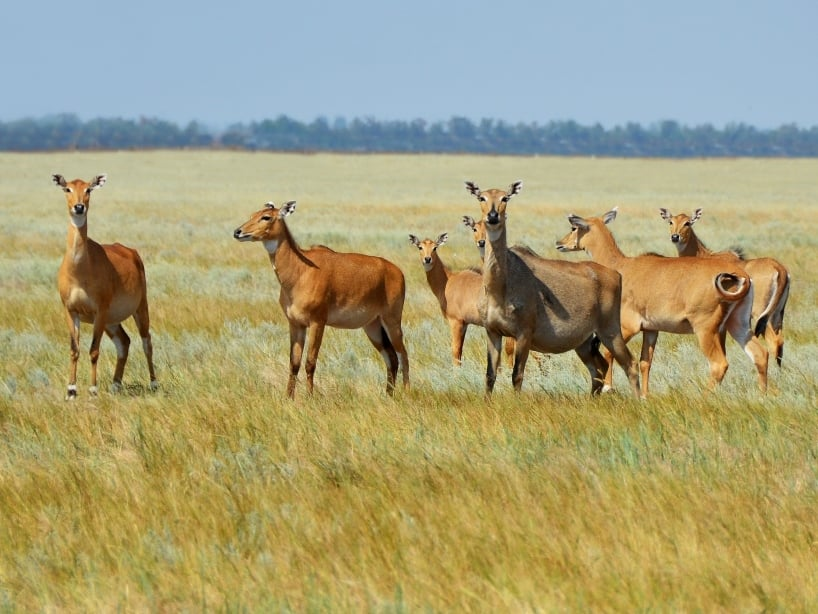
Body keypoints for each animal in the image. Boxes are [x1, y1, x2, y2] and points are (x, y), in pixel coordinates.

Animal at [54, 176, 158, 402]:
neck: (80, 270)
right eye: (68, 188)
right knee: (124, 342)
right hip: (112, 321)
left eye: (88, 189)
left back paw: (154, 384)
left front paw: (93, 391)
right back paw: (115, 385)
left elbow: (94, 350)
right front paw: (71, 391)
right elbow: (74, 349)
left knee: (146, 341)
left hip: (139, 309)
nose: (79, 207)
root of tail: (132, 252)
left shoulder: (99, 311)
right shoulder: (70, 310)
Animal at [233, 202, 408, 400]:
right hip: (373, 326)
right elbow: (294, 363)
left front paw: (310, 397)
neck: (300, 271)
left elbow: (310, 362)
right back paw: (388, 395)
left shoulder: (318, 322)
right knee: (391, 358)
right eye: (253, 214)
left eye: (266, 217)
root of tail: (397, 271)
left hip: (392, 321)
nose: (238, 232)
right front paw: (289, 397)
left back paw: (407, 392)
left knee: (403, 355)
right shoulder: (296, 324)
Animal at [462, 179, 640, 400]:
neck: (499, 285)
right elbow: (490, 375)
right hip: (584, 342)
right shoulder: (493, 332)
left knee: (630, 364)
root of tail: (615, 274)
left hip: (610, 331)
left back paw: (640, 401)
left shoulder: (524, 334)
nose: (493, 216)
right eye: (481, 197)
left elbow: (517, 375)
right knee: (598, 367)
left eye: (505, 197)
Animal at [552, 209, 768, 398]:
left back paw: (704, 398)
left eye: (574, 227)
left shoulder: (627, 326)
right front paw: (644, 395)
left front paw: (607, 388)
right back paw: (763, 396)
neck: (622, 265)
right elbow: (645, 361)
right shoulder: (651, 329)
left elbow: (609, 353)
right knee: (760, 354)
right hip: (737, 324)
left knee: (719, 364)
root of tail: (740, 275)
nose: (559, 243)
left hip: (706, 329)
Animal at [656, 209, 792, 368]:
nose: (675, 237)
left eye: (687, 222)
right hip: (777, 314)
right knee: (780, 341)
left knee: (773, 341)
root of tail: (779, 268)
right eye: (670, 222)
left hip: (761, 314)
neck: (704, 255)